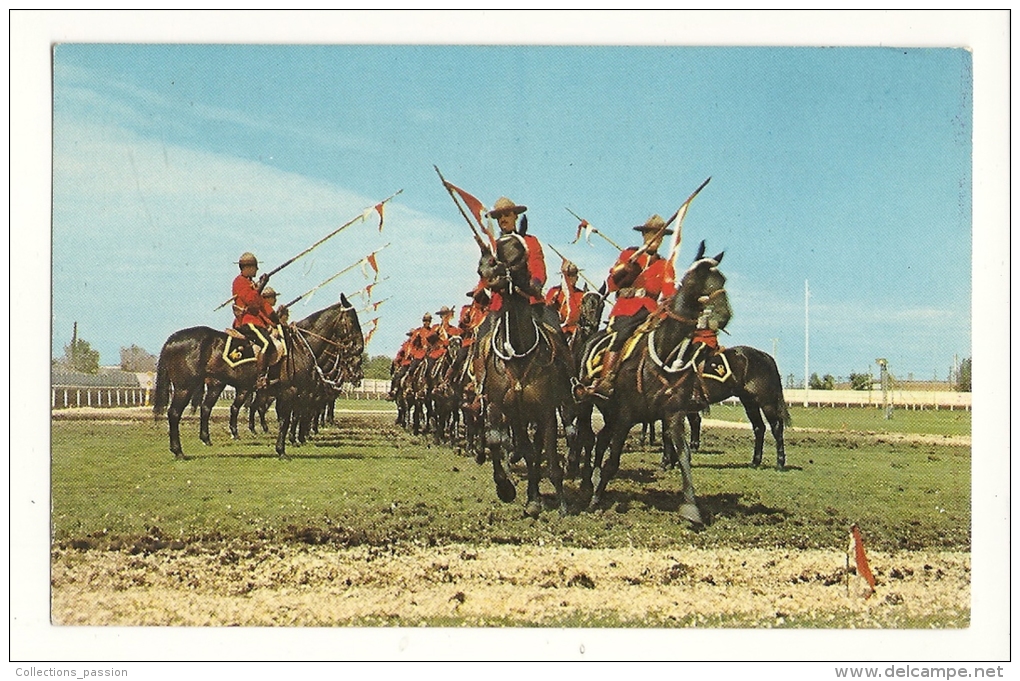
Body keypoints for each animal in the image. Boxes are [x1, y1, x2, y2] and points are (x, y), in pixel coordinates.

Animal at [473, 244, 579, 515]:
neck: (519, 354)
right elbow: (499, 441)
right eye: (482, 263)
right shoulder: (503, 408)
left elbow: (548, 457)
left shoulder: (546, 411)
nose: (489, 274)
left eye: (517, 254)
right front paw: (507, 488)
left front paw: (560, 504)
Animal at [575, 241, 734, 526]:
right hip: (588, 404)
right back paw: (586, 483)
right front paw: (594, 501)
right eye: (696, 280)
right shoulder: (626, 416)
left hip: (611, 413)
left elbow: (684, 456)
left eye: (722, 279)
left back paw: (592, 478)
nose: (723, 314)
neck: (665, 349)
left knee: (601, 438)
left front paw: (691, 508)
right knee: (588, 437)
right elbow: (613, 461)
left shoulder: (673, 414)